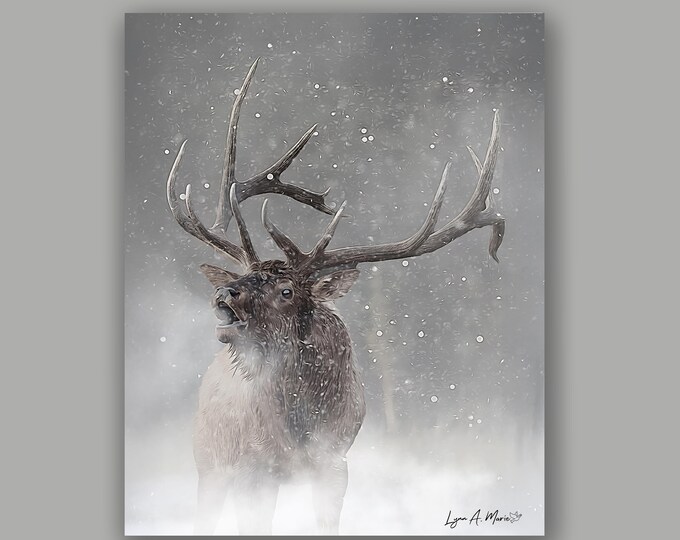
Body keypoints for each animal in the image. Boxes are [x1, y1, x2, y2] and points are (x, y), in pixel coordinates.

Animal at [166, 58, 505, 535]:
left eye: (287, 290)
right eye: (247, 275)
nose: (224, 293)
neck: (300, 429)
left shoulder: (335, 462)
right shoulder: (253, 466)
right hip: (208, 463)